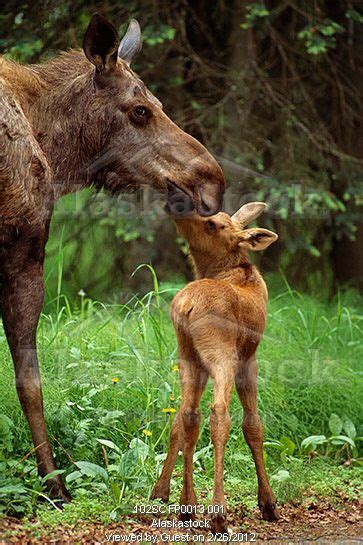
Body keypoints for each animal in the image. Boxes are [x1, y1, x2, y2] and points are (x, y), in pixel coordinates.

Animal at [152, 202, 280, 528]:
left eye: (214, 223)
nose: (177, 208)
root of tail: (187, 306)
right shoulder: (248, 360)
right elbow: (253, 425)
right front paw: (267, 502)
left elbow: (176, 424)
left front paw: (160, 492)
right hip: (223, 355)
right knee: (219, 413)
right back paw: (218, 513)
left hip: (187, 354)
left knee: (187, 414)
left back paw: (187, 505)